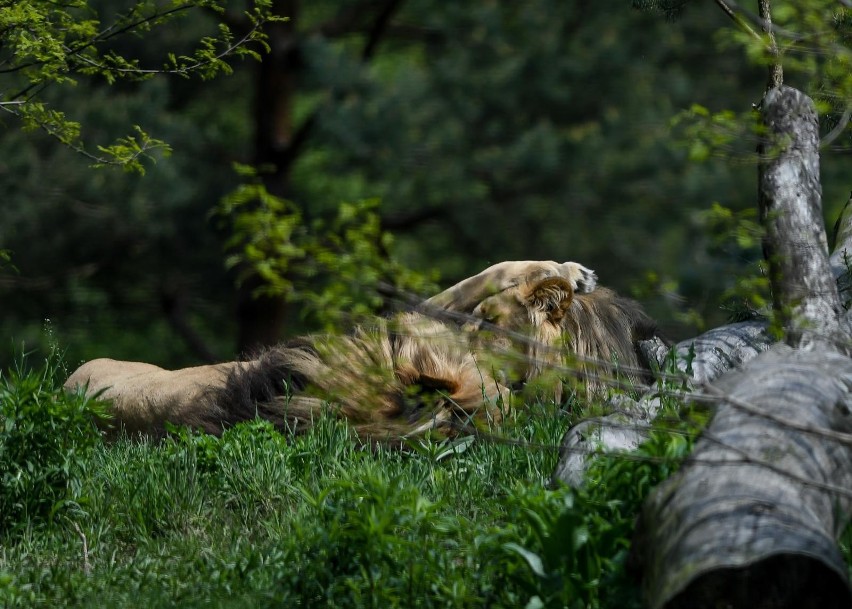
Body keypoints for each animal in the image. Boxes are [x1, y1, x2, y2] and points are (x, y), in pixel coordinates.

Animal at [66, 258, 660, 440]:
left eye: (492, 327)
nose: (469, 329)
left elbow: (488, 274)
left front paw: (568, 276)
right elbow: (491, 272)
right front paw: (570, 275)